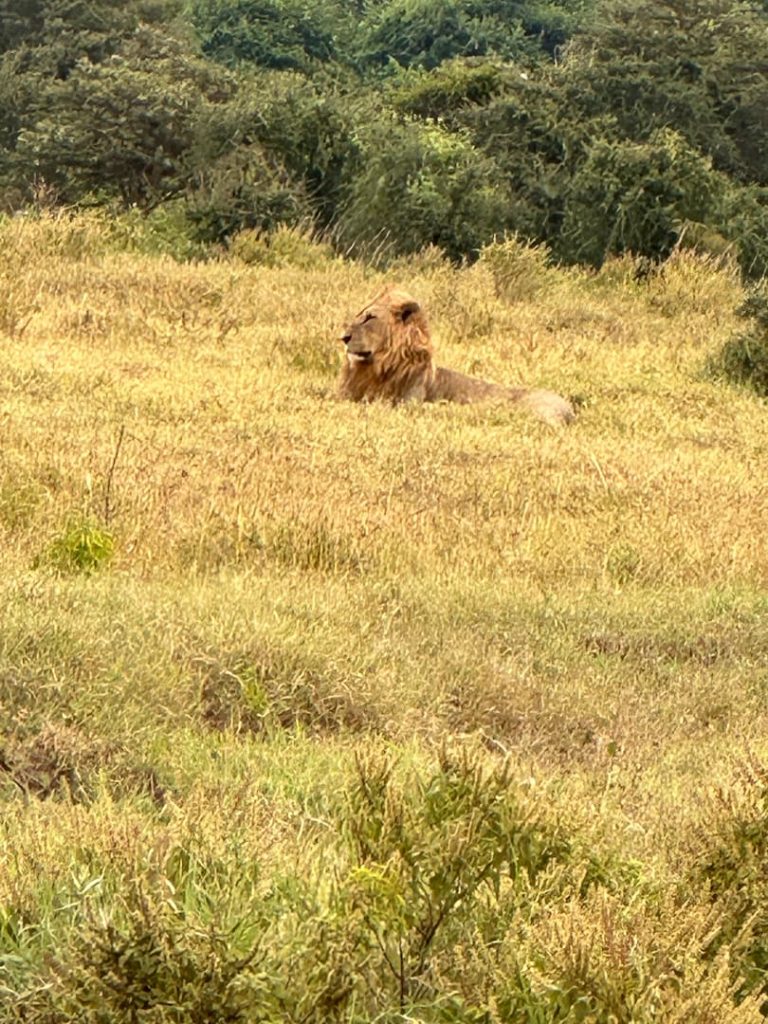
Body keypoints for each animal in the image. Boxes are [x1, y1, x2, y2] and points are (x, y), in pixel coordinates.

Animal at [338, 286, 574, 426]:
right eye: (360, 316)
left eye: (370, 318)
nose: (344, 337)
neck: (376, 368)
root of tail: (570, 409)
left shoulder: (405, 402)